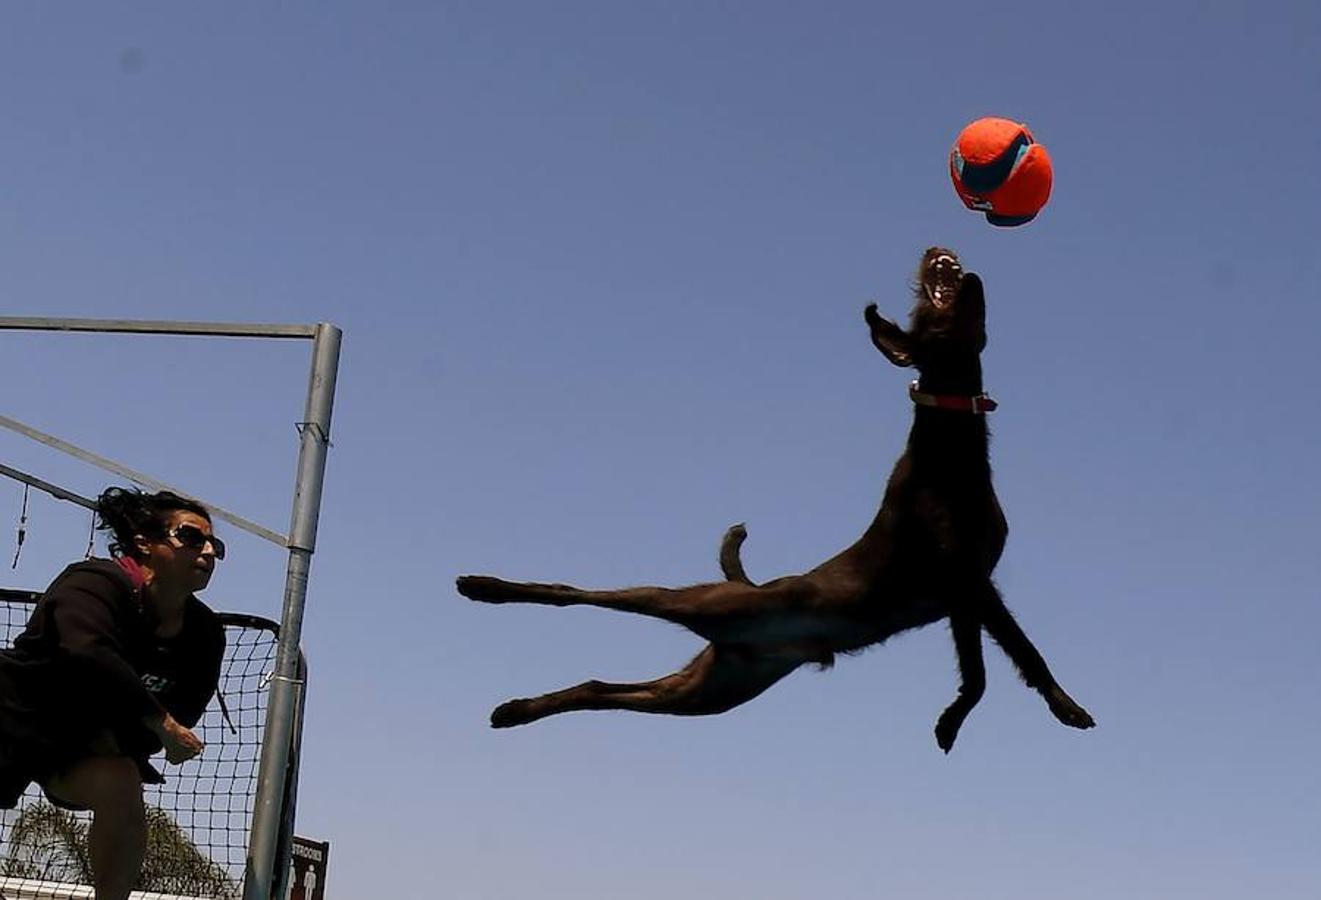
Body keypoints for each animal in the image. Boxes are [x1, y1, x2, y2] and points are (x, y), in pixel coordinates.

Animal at [459, 247, 1099, 750]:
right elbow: (1011, 659)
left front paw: (969, 718)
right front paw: (1041, 708)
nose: (937, 257)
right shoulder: (965, 582)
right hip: (698, 605)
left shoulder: (969, 591)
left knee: (602, 688)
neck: (949, 455)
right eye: (926, 312)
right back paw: (484, 588)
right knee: (583, 593)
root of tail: (750, 596)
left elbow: (991, 666)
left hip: (705, 692)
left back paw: (515, 711)